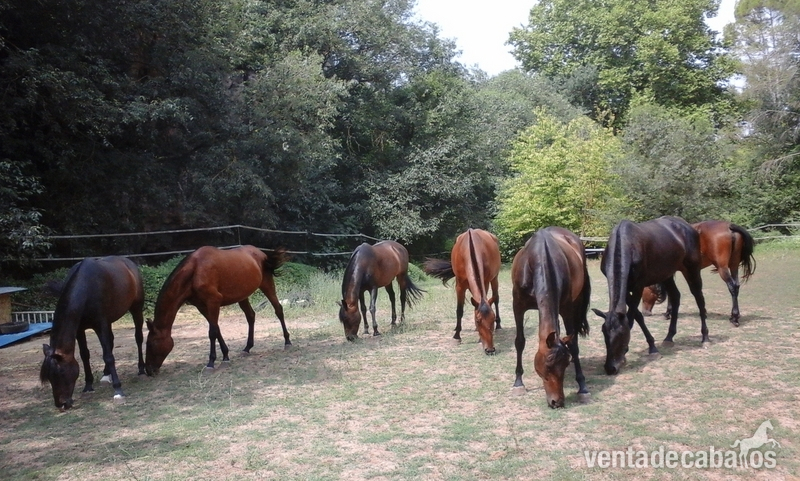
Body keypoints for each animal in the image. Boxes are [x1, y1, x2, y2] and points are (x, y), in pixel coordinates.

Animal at [40, 256, 145, 410]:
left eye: (61, 373)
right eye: (49, 377)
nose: (62, 404)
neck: (85, 289)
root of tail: (129, 263)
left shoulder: (100, 325)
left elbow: (108, 356)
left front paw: (118, 390)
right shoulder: (80, 329)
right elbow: (85, 355)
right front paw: (88, 385)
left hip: (136, 309)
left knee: (138, 338)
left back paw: (141, 369)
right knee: (111, 342)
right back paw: (106, 375)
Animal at [145, 245, 289, 374]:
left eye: (150, 344)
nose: (149, 370)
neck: (195, 271)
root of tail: (261, 253)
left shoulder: (213, 302)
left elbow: (212, 332)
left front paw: (211, 363)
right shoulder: (202, 307)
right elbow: (217, 329)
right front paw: (225, 356)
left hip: (267, 285)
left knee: (278, 310)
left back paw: (287, 342)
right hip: (242, 296)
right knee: (251, 316)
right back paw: (247, 348)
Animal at [510, 227, 591, 408]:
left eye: (564, 365)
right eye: (547, 366)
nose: (556, 402)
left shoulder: (567, 308)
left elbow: (573, 345)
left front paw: (582, 387)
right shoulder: (518, 306)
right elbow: (519, 341)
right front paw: (518, 382)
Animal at [591, 216, 708, 375]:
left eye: (621, 335)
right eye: (604, 333)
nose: (610, 368)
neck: (626, 243)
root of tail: (687, 226)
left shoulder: (638, 286)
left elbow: (632, 318)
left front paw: (646, 351)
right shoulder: (628, 289)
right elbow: (637, 316)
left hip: (692, 269)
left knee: (699, 299)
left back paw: (705, 338)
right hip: (667, 274)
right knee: (675, 296)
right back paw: (669, 337)